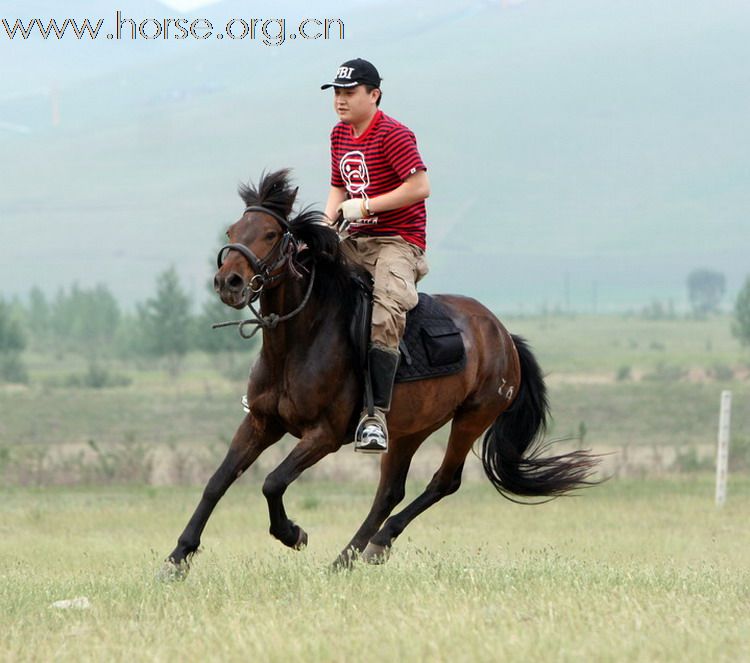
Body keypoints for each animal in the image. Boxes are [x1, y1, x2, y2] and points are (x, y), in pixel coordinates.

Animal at [166, 171, 600, 576]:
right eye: (232, 231)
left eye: (271, 234)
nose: (228, 282)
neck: (298, 342)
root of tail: (504, 335)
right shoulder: (260, 422)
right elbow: (217, 481)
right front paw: (177, 558)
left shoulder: (323, 435)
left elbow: (273, 482)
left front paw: (293, 534)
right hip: (411, 428)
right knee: (389, 492)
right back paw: (349, 556)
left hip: (472, 418)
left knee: (443, 482)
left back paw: (374, 544)